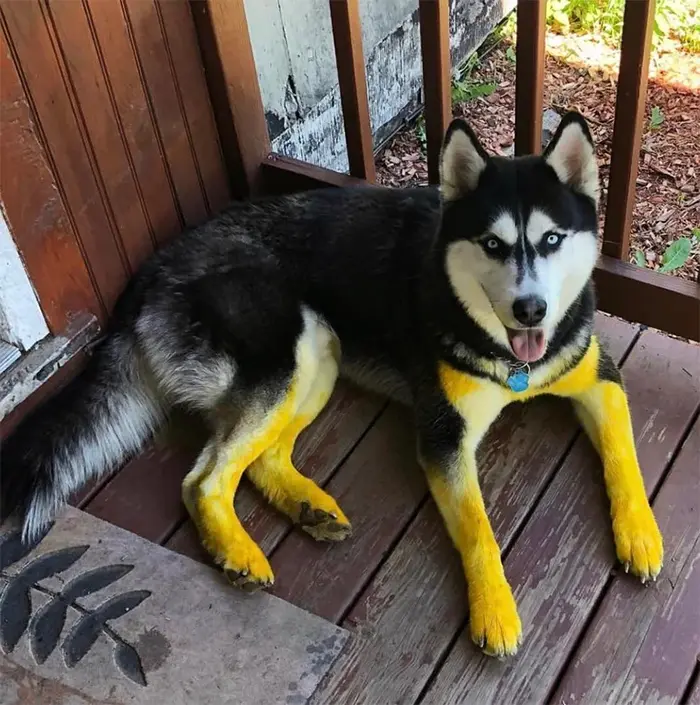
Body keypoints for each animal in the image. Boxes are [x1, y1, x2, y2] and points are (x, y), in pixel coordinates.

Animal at [1, 111, 660, 656]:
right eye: (493, 245)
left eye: (551, 240)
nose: (530, 311)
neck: (511, 354)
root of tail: (149, 272)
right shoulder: (444, 437)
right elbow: (479, 530)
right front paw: (494, 610)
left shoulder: (600, 380)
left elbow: (624, 458)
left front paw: (641, 533)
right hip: (291, 349)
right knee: (205, 478)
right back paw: (238, 552)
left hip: (319, 358)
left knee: (258, 460)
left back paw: (307, 506)